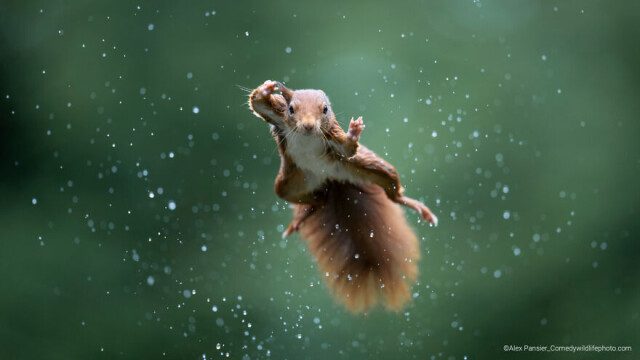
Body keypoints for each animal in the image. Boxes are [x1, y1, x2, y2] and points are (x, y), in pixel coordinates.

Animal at [248, 81, 438, 312]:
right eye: (291, 109)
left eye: (325, 109)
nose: (308, 126)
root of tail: (330, 180)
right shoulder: (278, 116)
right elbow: (257, 103)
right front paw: (266, 89)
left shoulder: (332, 136)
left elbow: (348, 148)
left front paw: (354, 131)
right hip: (289, 184)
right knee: (315, 200)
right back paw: (301, 218)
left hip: (369, 167)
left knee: (392, 191)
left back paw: (418, 207)